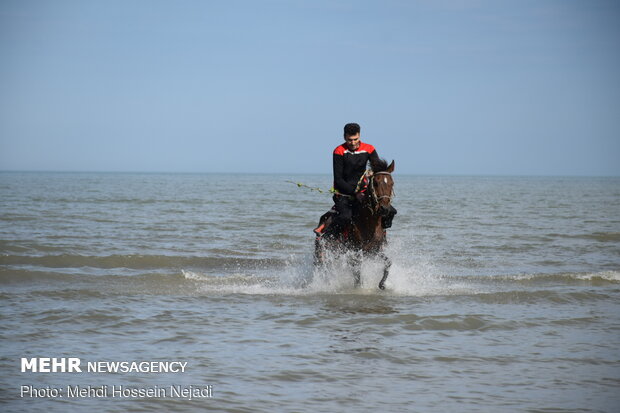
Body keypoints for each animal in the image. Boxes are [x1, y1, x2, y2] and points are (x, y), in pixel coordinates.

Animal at [312, 159, 394, 288]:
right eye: (376, 183)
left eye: (392, 183)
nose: (385, 209)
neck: (367, 222)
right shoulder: (356, 253)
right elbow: (357, 276)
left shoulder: (375, 251)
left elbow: (388, 263)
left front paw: (381, 284)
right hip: (321, 253)